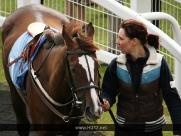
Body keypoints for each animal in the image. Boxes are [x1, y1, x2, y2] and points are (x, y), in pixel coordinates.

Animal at [1, 3, 102, 135]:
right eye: (73, 69)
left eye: (97, 65)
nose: (94, 109)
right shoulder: (42, 130)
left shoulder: (72, 129)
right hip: (14, 93)